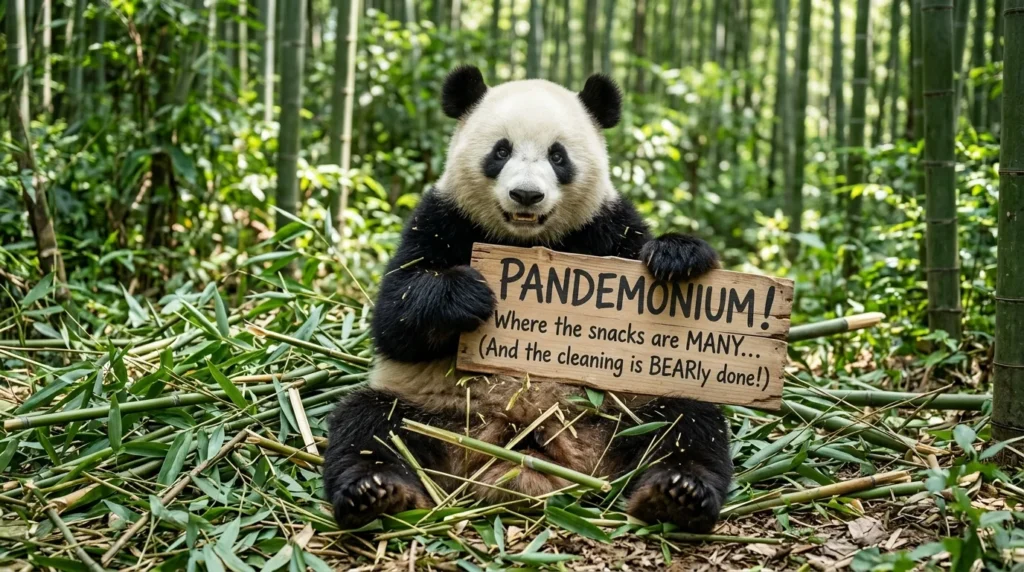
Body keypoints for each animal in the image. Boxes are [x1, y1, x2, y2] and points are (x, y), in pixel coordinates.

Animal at [323, 66, 733, 534]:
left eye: (558, 156)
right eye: (501, 150)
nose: (526, 195)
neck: (524, 241)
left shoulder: (606, 226)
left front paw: (676, 257)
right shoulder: (441, 217)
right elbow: (394, 316)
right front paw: (467, 294)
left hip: (620, 414)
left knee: (687, 423)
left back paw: (677, 495)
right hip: (434, 413)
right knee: (371, 425)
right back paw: (377, 493)